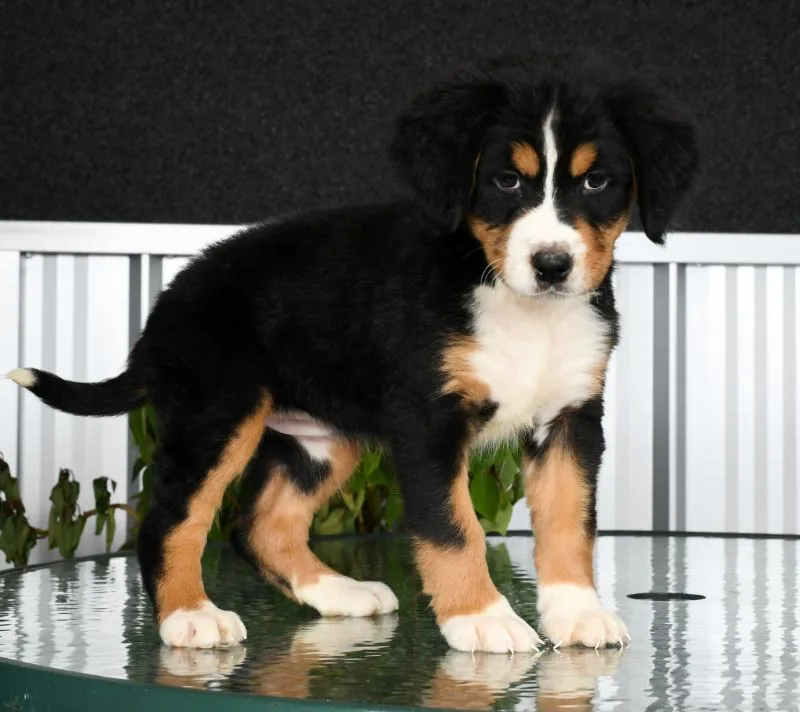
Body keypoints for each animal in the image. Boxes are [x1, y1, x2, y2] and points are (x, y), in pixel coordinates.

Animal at [6, 52, 696, 652]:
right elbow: (454, 528)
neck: (504, 293)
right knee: (172, 518)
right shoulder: (428, 423)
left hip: (319, 439)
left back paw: (340, 594)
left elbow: (569, 523)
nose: (552, 265)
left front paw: (577, 612)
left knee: (259, 526)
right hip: (218, 415)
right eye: (506, 180)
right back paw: (191, 617)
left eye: (597, 181)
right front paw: (481, 620)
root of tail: (167, 305)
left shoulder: (570, 419)